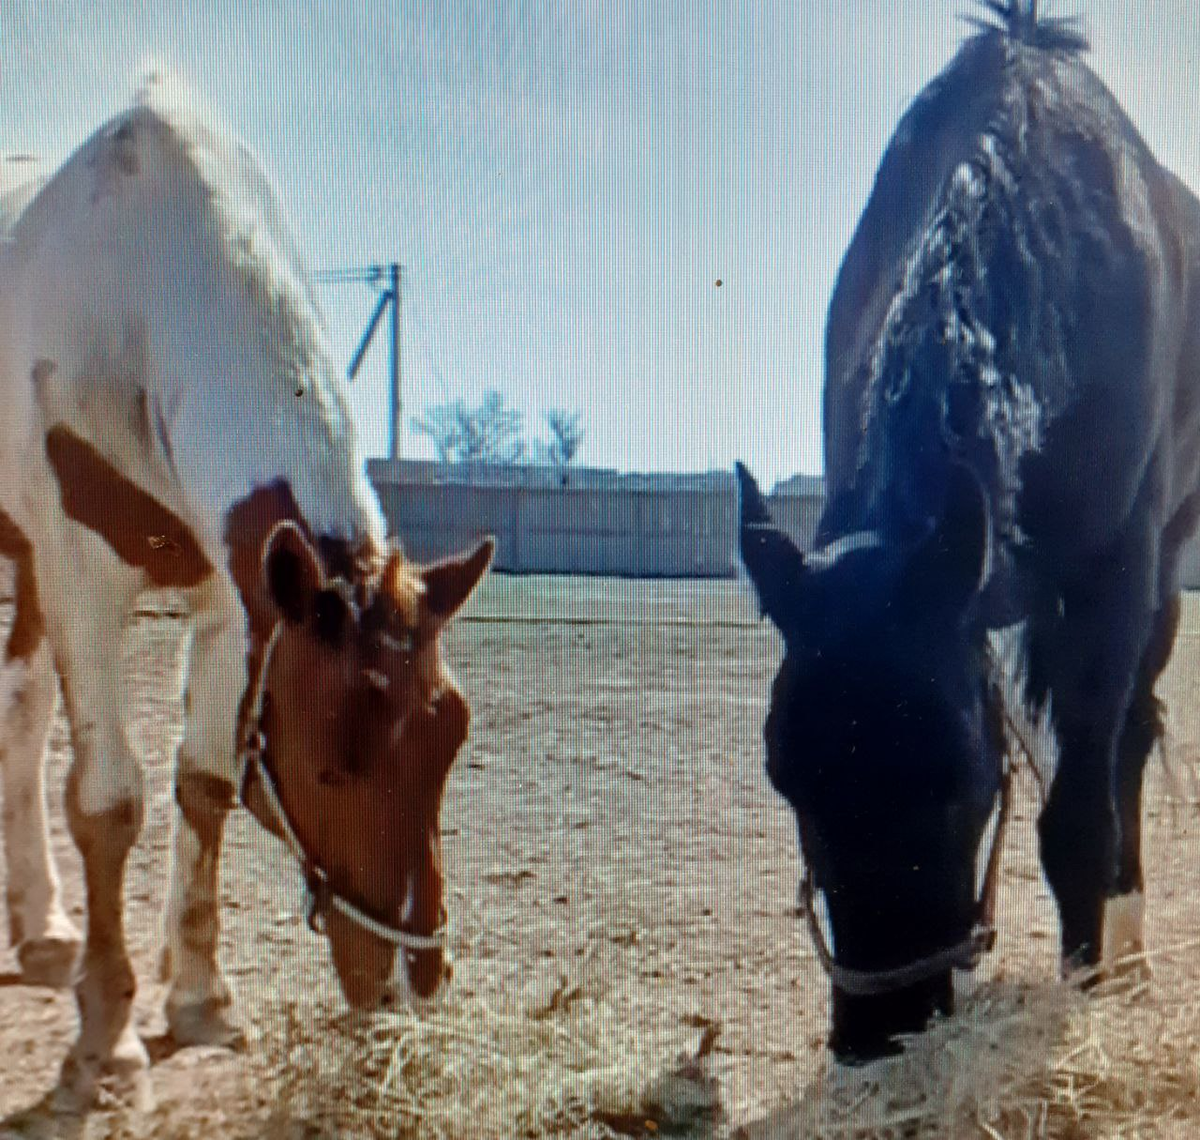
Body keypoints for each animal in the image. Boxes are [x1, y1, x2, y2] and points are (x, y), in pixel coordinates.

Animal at [0, 73, 493, 1108]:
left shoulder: (239, 604)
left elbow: (205, 784)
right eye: (332, 769)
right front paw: (106, 1041)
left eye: (450, 742)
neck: (140, 296)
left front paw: (201, 1000)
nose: (411, 985)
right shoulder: (82, 581)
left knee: (20, 715)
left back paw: (44, 926)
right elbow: (108, 803)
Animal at [737, 0, 1200, 1062]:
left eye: (960, 776)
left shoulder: (1113, 577)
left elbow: (1078, 815)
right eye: (786, 775)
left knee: (1127, 738)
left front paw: (1087, 982)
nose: (879, 1031)